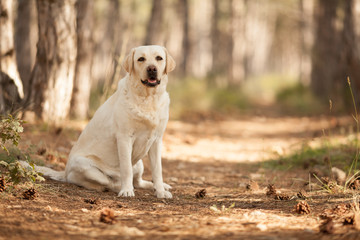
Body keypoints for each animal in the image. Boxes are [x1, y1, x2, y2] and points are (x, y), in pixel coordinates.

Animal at [22, 45, 176, 199]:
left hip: (139, 163)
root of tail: (64, 173)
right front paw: (126, 190)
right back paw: (120, 186)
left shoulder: (156, 140)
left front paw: (160, 191)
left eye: (159, 58)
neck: (148, 99)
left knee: (138, 181)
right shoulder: (124, 138)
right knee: (109, 182)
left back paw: (161, 186)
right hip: (84, 165)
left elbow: (157, 170)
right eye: (141, 59)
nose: (152, 69)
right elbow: (126, 169)